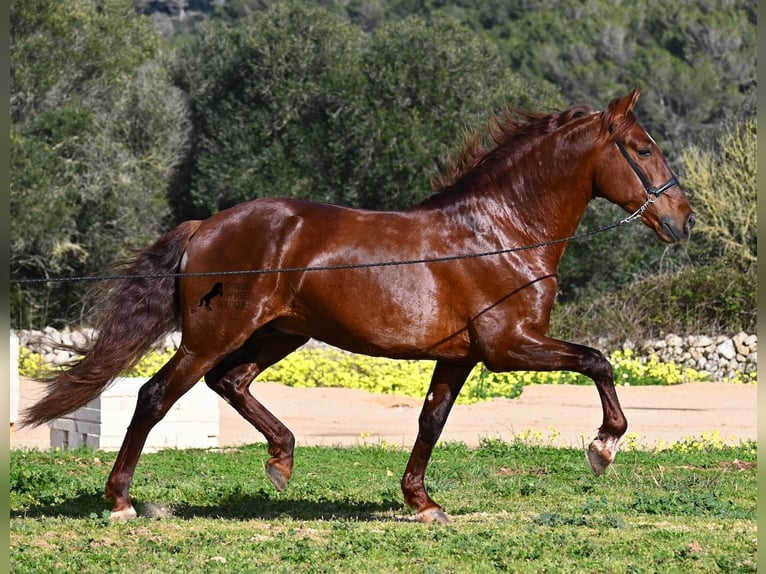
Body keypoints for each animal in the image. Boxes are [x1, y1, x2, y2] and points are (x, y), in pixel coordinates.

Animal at [22, 88, 696, 524]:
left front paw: (422, 503)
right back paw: (121, 501)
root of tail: (207, 226)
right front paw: (603, 447)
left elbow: (431, 421)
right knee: (156, 395)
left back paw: (281, 461)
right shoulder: (510, 348)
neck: (502, 233)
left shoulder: (461, 357)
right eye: (642, 148)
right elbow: (599, 360)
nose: (682, 221)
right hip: (214, 335)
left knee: (229, 382)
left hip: (281, 333)